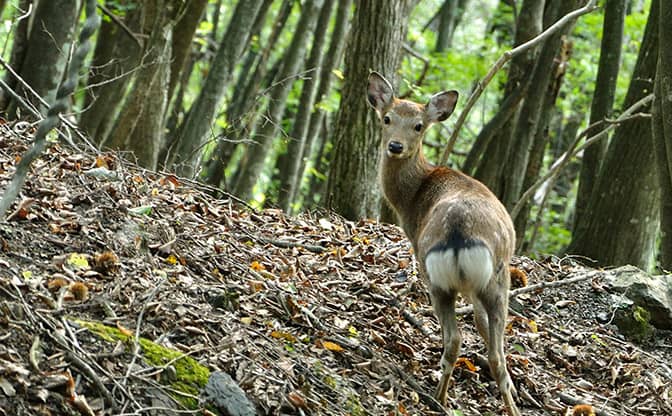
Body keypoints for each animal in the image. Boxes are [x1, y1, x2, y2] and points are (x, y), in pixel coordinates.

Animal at [368, 72, 520, 416]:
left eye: (418, 125)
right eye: (387, 118)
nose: (395, 146)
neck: (411, 200)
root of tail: (458, 234)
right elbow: (480, 324)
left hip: (440, 277)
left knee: (454, 339)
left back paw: (439, 398)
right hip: (490, 282)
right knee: (496, 353)